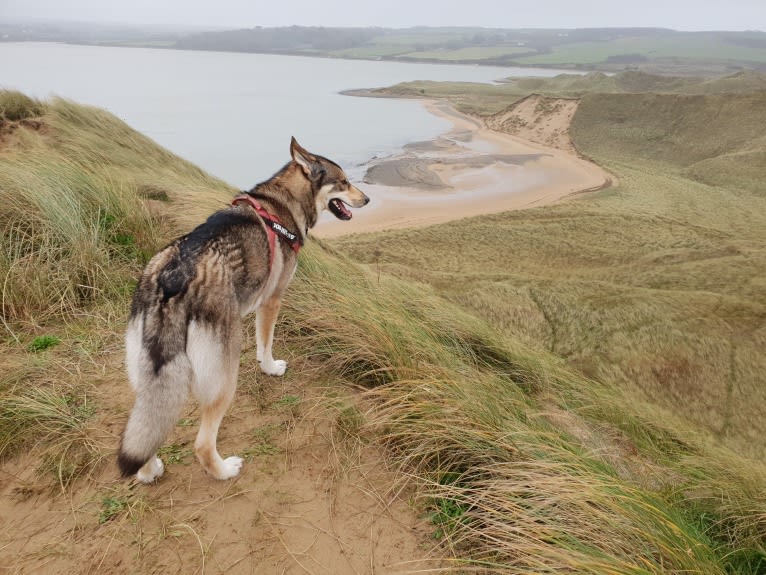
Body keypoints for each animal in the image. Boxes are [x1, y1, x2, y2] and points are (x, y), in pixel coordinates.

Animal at [118, 138, 370, 482]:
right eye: (343, 182)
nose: (367, 198)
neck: (283, 203)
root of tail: (173, 278)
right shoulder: (272, 301)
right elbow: (266, 345)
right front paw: (271, 368)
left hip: (145, 373)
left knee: (145, 424)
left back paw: (147, 470)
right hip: (225, 374)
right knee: (202, 443)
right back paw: (224, 470)